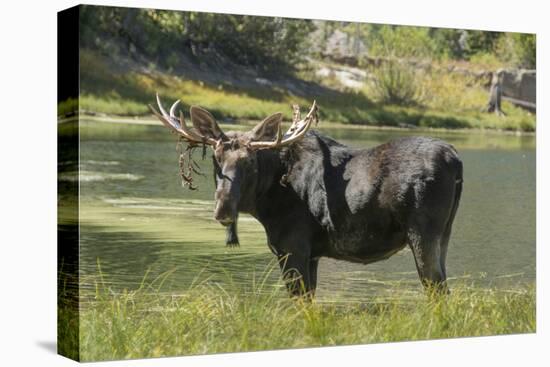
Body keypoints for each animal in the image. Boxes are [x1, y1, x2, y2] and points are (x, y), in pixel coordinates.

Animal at [152, 95, 466, 300]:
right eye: (216, 159)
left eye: (250, 162)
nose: (224, 208)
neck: (266, 203)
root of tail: (456, 159)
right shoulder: (312, 253)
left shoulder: (293, 247)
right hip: (445, 234)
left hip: (423, 232)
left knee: (436, 289)